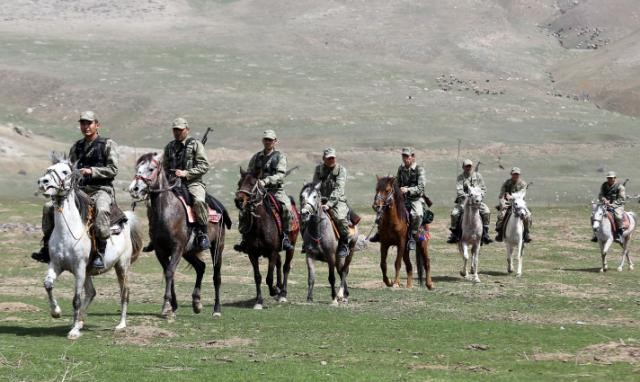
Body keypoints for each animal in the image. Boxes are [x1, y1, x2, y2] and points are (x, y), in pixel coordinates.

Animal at [38, 157, 142, 338]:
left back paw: (121, 325)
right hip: (89, 271)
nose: (44, 182)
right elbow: (48, 285)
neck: (68, 232)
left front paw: (73, 331)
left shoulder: (79, 269)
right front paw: (56, 312)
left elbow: (76, 299)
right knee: (92, 292)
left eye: (65, 171)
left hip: (121, 266)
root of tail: (126, 220)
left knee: (125, 293)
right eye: (49, 168)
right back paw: (80, 321)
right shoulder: (56, 264)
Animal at [235, 169, 300, 308]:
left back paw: (282, 293)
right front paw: (259, 301)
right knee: (279, 263)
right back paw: (279, 288)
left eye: (252, 183)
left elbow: (269, 277)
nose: (238, 200)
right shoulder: (252, 254)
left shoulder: (272, 252)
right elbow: (258, 277)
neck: (260, 226)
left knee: (286, 266)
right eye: (239, 183)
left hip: (291, 246)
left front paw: (274, 290)